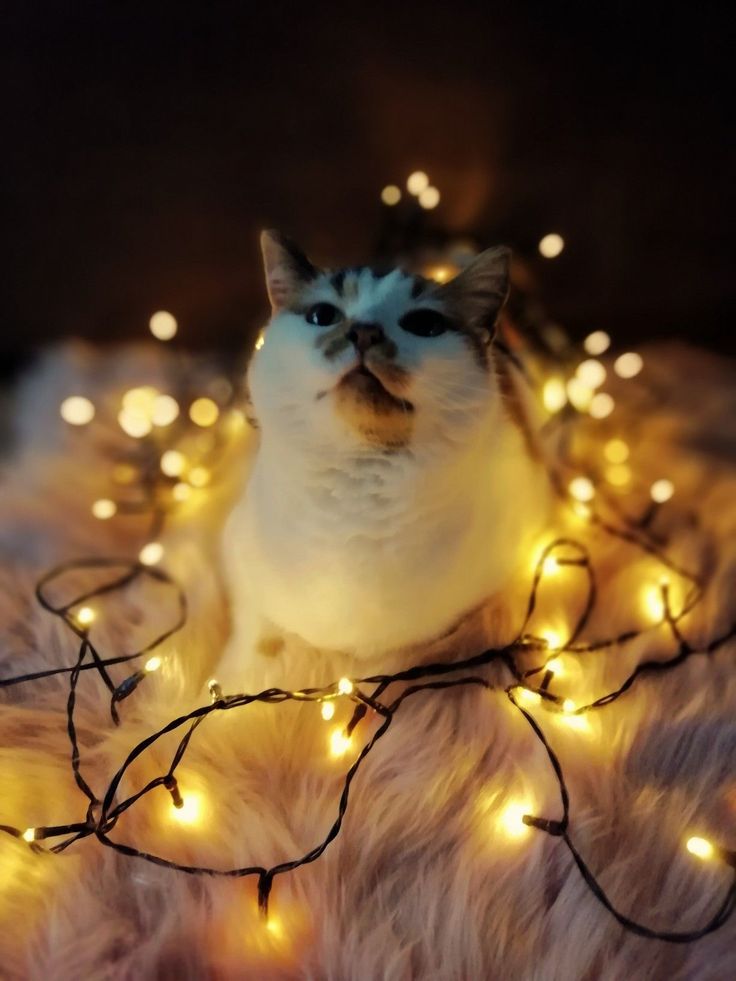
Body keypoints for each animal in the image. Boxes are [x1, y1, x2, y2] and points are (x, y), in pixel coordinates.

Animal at [218, 233, 552, 684]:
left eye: (425, 325)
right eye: (323, 315)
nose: (364, 332)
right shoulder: (237, 556)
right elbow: (256, 637)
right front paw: (234, 677)